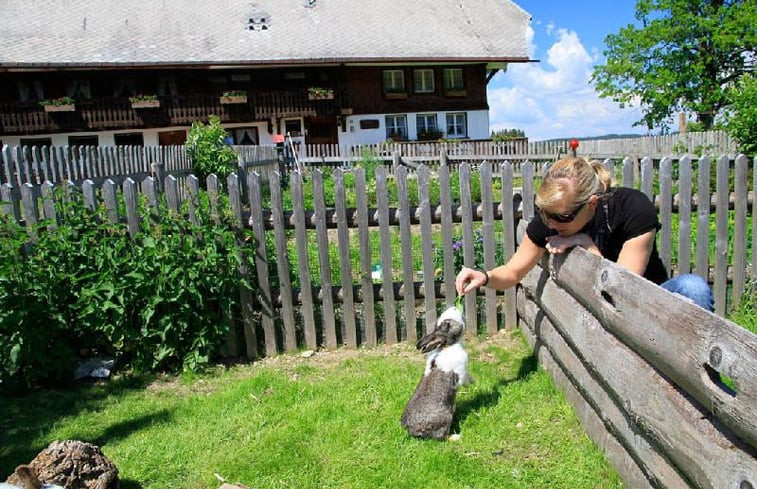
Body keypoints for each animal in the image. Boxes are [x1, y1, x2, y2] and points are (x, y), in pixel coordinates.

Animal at [398, 304, 470, 438]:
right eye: (447, 323)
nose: (454, 307)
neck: (447, 346)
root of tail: (412, 430)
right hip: (446, 417)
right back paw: (456, 437)